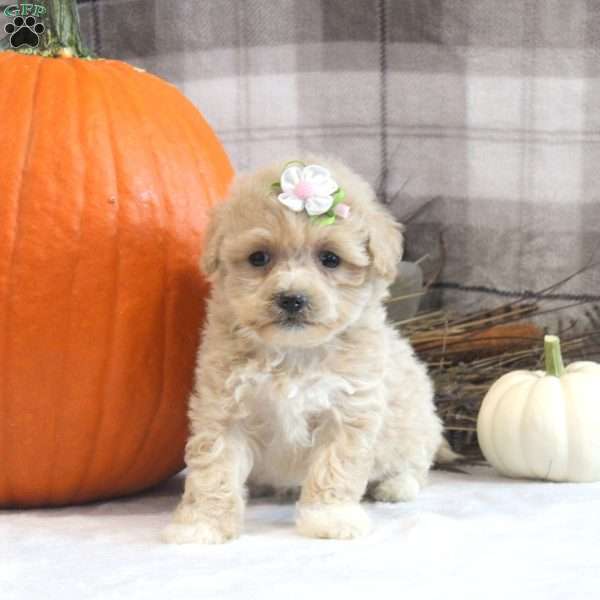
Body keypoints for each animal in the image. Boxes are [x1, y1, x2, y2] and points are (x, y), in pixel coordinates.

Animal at [162, 155, 448, 544]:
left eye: (330, 259)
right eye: (259, 258)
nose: (292, 299)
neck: (292, 353)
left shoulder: (349, 408)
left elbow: (335, 467)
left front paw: (330, 519)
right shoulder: (224, 408)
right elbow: (214, 468)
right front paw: (203, 524)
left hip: (416, 422)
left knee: (416, 464)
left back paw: (395, 486)